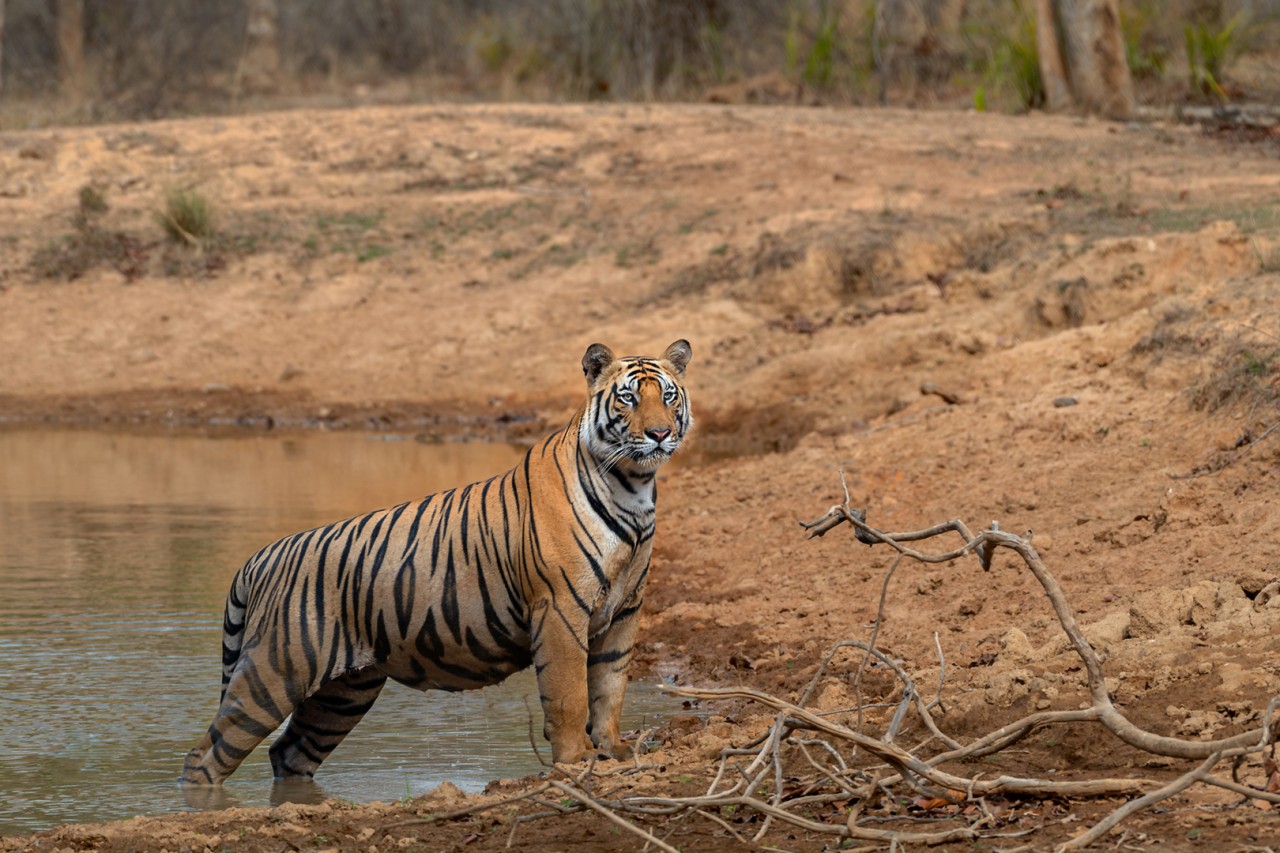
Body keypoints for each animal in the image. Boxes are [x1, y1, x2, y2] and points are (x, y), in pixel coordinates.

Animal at [181, 340, 692, 785]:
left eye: (668, 396)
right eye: (627, 398)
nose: (660, 434)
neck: (633, 487)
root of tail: (261, 557)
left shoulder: (624, 610)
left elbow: (610, 687)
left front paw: (612, 750)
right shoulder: (561, 609)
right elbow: (569, 695)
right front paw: (576, 760)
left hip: (344, 692)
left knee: (287, 753)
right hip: (272, 673)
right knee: (204, 757)